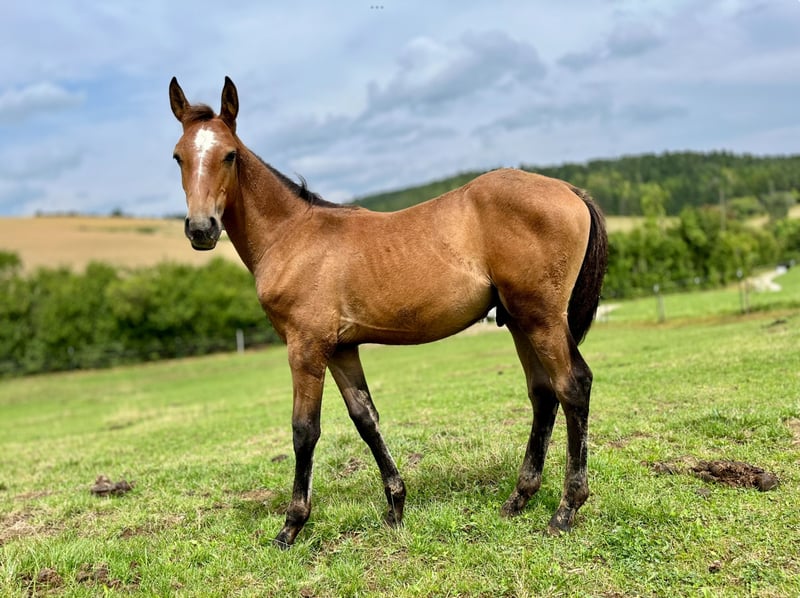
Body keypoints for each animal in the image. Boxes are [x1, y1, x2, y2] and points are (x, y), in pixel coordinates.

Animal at [169, 76, 608, 549]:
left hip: (543, 317)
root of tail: (569, 190)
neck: (290, 236)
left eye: (229, 154)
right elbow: (365, 419)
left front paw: (291, 525)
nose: (201, 229)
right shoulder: (340, 349)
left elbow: (304, 429)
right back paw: (519, 498)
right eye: (178, 156)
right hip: (519, 321)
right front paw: (396, 506)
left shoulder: (306, 346)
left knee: (572, 386)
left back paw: (565, 510)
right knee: (543, 394)